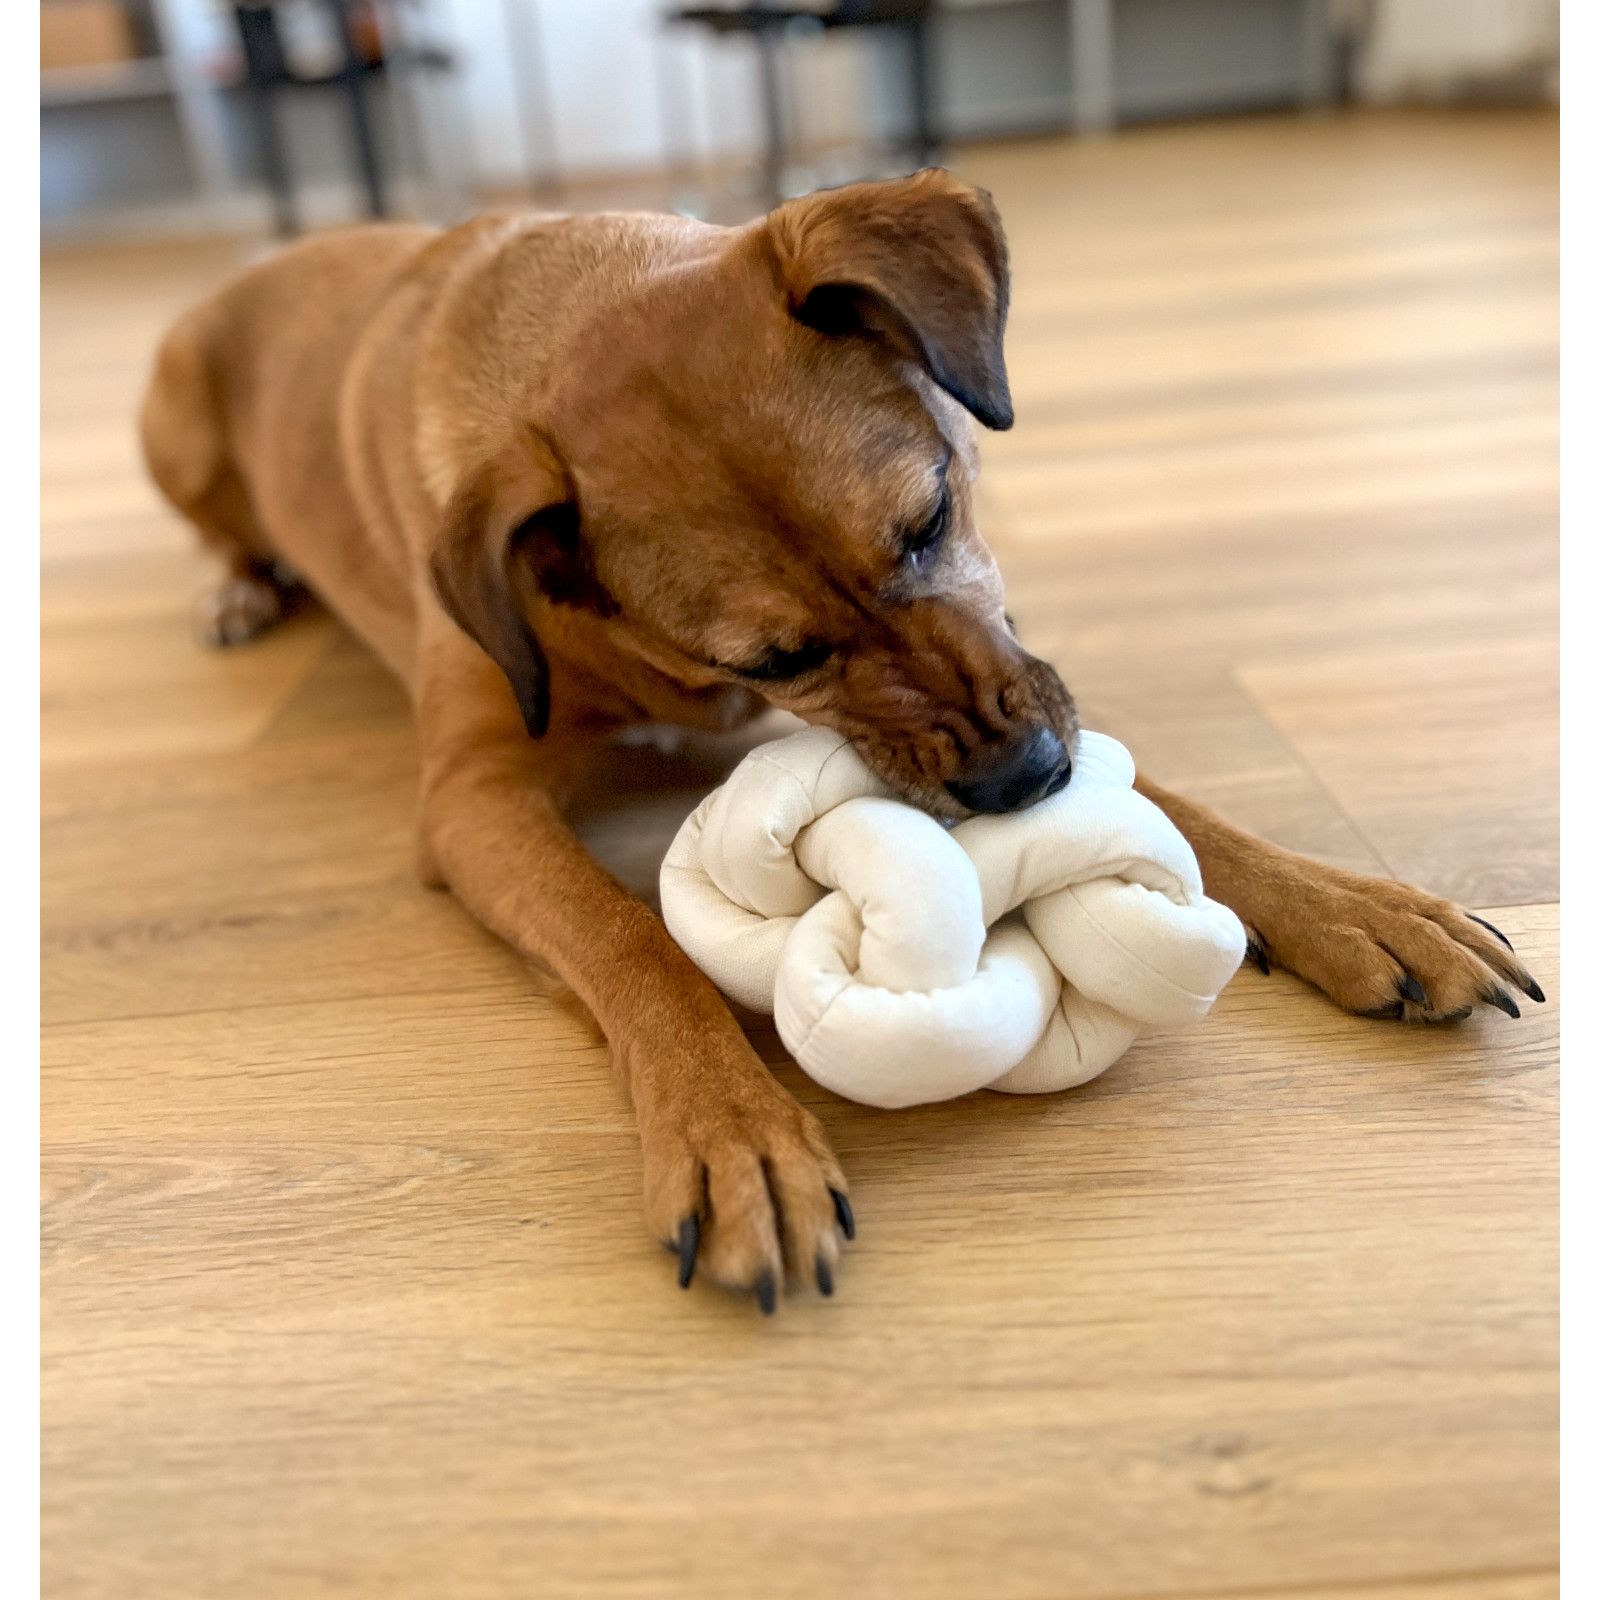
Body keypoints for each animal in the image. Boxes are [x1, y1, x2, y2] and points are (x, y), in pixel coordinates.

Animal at [144, 168, 1542, 1312]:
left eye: (928, 518)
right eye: (776, 659)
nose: (1023, 784)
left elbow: (1171, 796)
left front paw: (1355, 906)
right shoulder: (472, 796)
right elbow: (630, 941)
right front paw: (732, 1127)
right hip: (173, 431)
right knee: (221, 533)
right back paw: (239, 590)